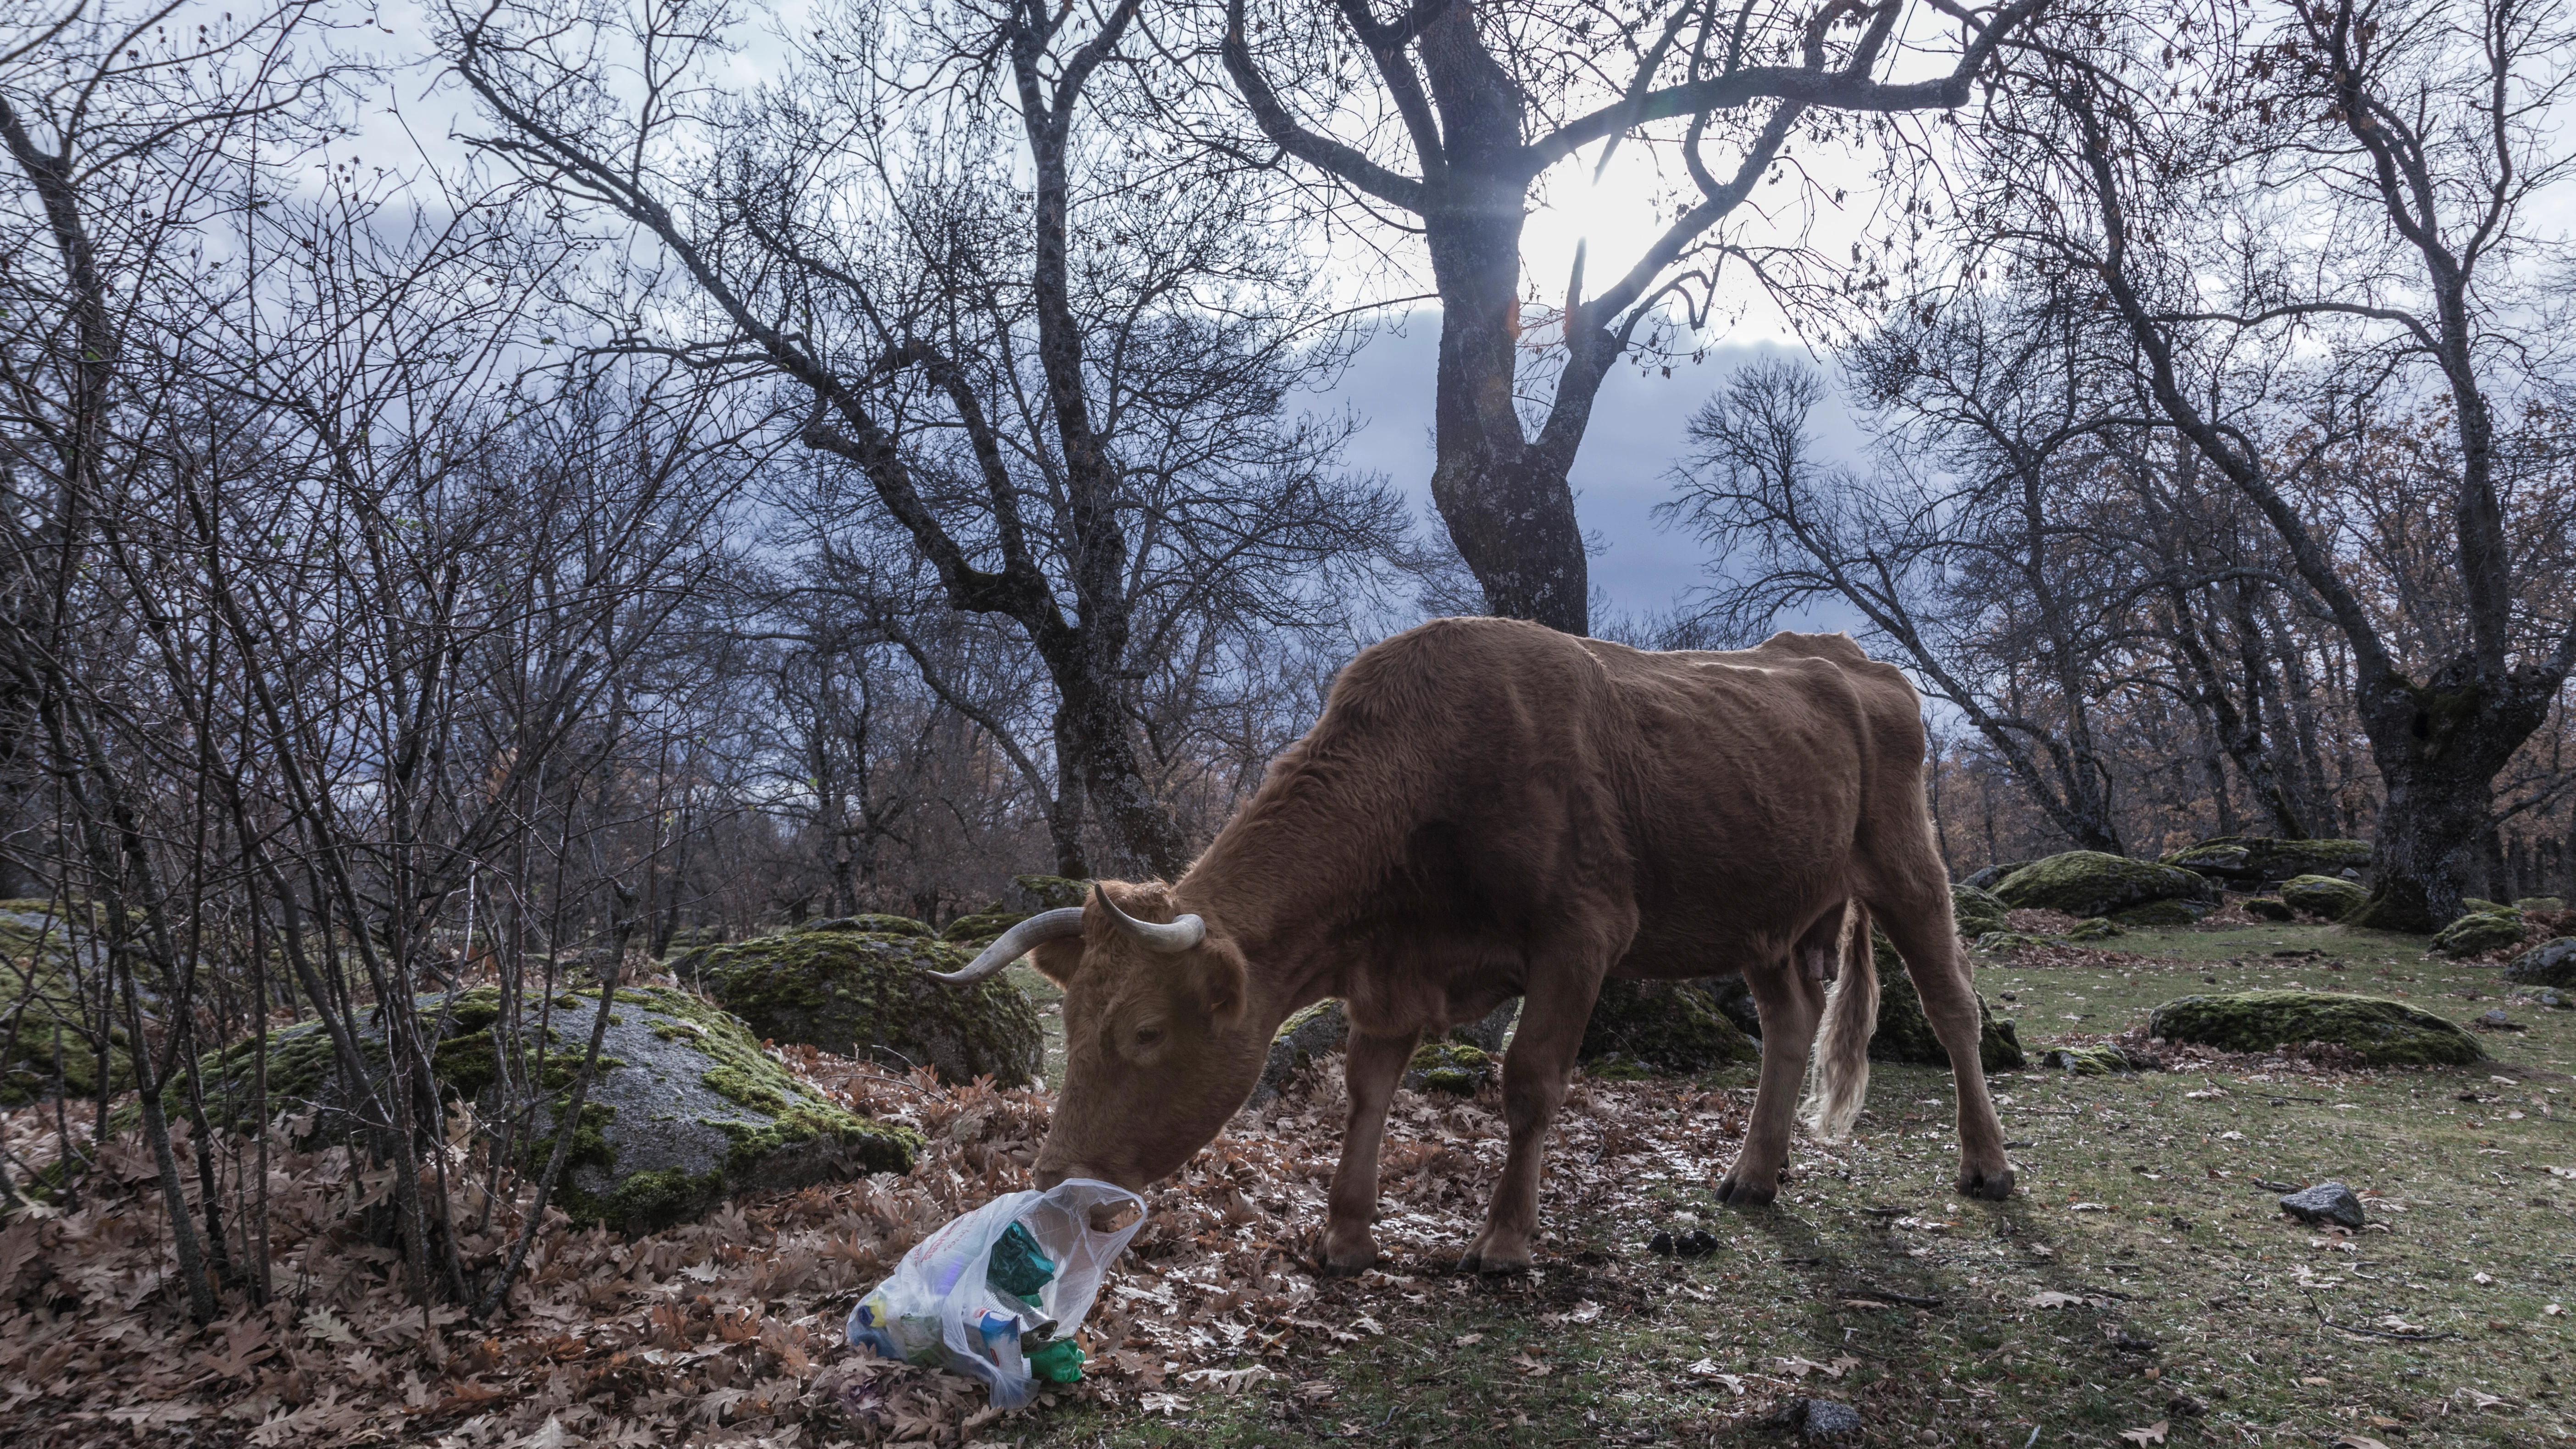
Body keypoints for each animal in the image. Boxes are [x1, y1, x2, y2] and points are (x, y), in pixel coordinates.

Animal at [927, 613, 2009, 1268]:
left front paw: (1504, 1237)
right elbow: (1367, 1087)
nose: (1051, 1176)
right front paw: (1346, 1233)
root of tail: (1842, 652)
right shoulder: (1391, 970)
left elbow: (1528, 1080)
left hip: (1905, 860)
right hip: (1762, 910)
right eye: (1072, 1020)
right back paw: (1755, 1173)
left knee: (1953, 1004)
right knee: (1789, 1023)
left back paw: (1986, 1164)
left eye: (1147, 1031)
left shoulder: (1581, 933)